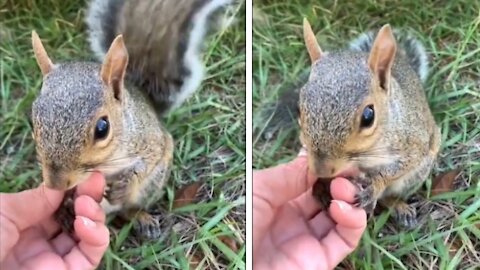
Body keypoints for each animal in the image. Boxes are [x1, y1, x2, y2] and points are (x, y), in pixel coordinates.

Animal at [29, 0, 232, 240]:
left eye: (102, 128)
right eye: (33, 121)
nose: (56, 185)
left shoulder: (151, 141)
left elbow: (147, 162)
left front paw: (124, 184)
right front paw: (62, 203)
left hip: (152, 185)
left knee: (128, 210)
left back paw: (142, 219)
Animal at [264, 19, 440, 229]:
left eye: (368, 117)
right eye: (299, 109)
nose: (321, 170)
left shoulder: (413, 142)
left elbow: (401, 166)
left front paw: (374, 186)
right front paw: (320, 185)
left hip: (415, 176)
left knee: (389, 196)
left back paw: (399, 207)